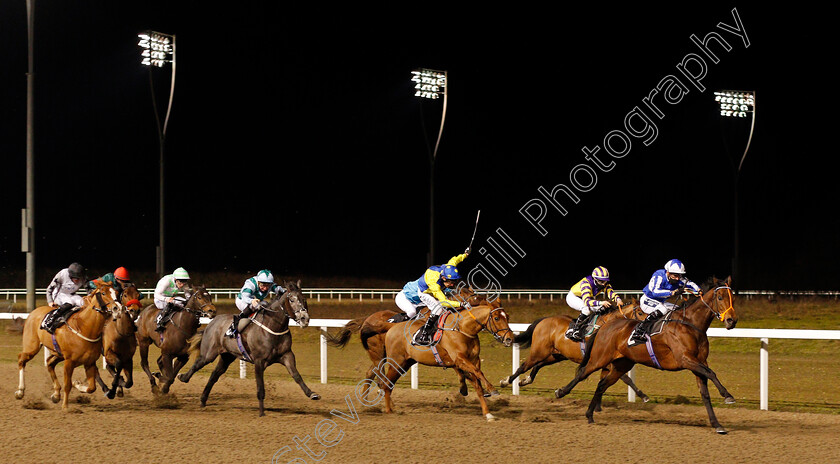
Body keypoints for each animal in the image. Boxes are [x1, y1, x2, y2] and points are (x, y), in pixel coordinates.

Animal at [14, 282, 120, 410]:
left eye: (116, 292)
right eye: (103, 293)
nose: (117, 308)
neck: (84, 327)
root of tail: (34, 311)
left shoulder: (89, 362)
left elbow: (91, 387)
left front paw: (77, 384)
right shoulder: (69, 362)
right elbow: (68, 385)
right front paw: (65, 407)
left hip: (57, 353)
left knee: (49, 362)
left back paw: (56, 394)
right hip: (32, 347)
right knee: (21, 359)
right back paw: (20, 391)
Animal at [178, 280, 322, 416]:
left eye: (304, 299)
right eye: (291, 299)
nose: (304, 319)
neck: (273, 327)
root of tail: (211, 323)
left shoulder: (287, 355)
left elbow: (296, 375)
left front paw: (312, 393)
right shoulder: (259, 361)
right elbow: (260, 388)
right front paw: (262, 412)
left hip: (227, 356)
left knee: (214, 375)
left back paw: (203, 400)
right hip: (209, 353)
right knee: (198, 363)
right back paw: (183, 377)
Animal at [382, 302, 516, 422]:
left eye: (507, 316)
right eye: (496, 318)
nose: (510, 338)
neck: (462, 328)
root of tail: (391, 328)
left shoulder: (474, 360)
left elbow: (477, 384)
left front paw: (488, 413)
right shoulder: (460, 359)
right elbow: (478, 373)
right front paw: (492, 389)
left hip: (406, 363)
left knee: (389, 384)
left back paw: (390, 407)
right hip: (396, 363)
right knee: (386, 384)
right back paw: (388, 410)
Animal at [498, 298, 648, 402]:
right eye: (640, 312)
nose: (645, 327)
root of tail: (544, 320)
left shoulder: (607, 362)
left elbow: (624, 379)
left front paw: (642, 395)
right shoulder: (602, 360)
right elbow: (626, 378)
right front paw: (643, 395)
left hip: (556, 355)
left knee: (538, 365)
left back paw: (525, 380)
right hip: (539, 352)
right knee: (524, 366)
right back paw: (506, 381)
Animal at [556, 278, 740, 434]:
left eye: (733, 297)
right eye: (720, 297)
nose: (732, 321)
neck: (691, 324)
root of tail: (605, 326)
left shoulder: (699, 362)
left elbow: (705, 393)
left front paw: (717, 424)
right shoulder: (686, 360)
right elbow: (711, 373)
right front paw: (728, 396)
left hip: (622, 363)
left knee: (602, 384)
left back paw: (589, 414)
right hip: (600, 358)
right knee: (583, 373)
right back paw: (561, 392)